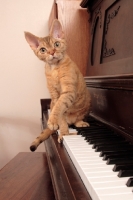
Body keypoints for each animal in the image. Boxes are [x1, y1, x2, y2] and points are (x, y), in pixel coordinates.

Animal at [24, 20, 91, 152]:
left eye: (56, 44)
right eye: (43, 50)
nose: (52, 52)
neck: (54, 68)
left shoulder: (68, 91)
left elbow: (59, 106)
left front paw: (53, 120)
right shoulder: (55, 95)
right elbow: (59, 111)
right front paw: (63, 132)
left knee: (77, 119)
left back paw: (79, 122)